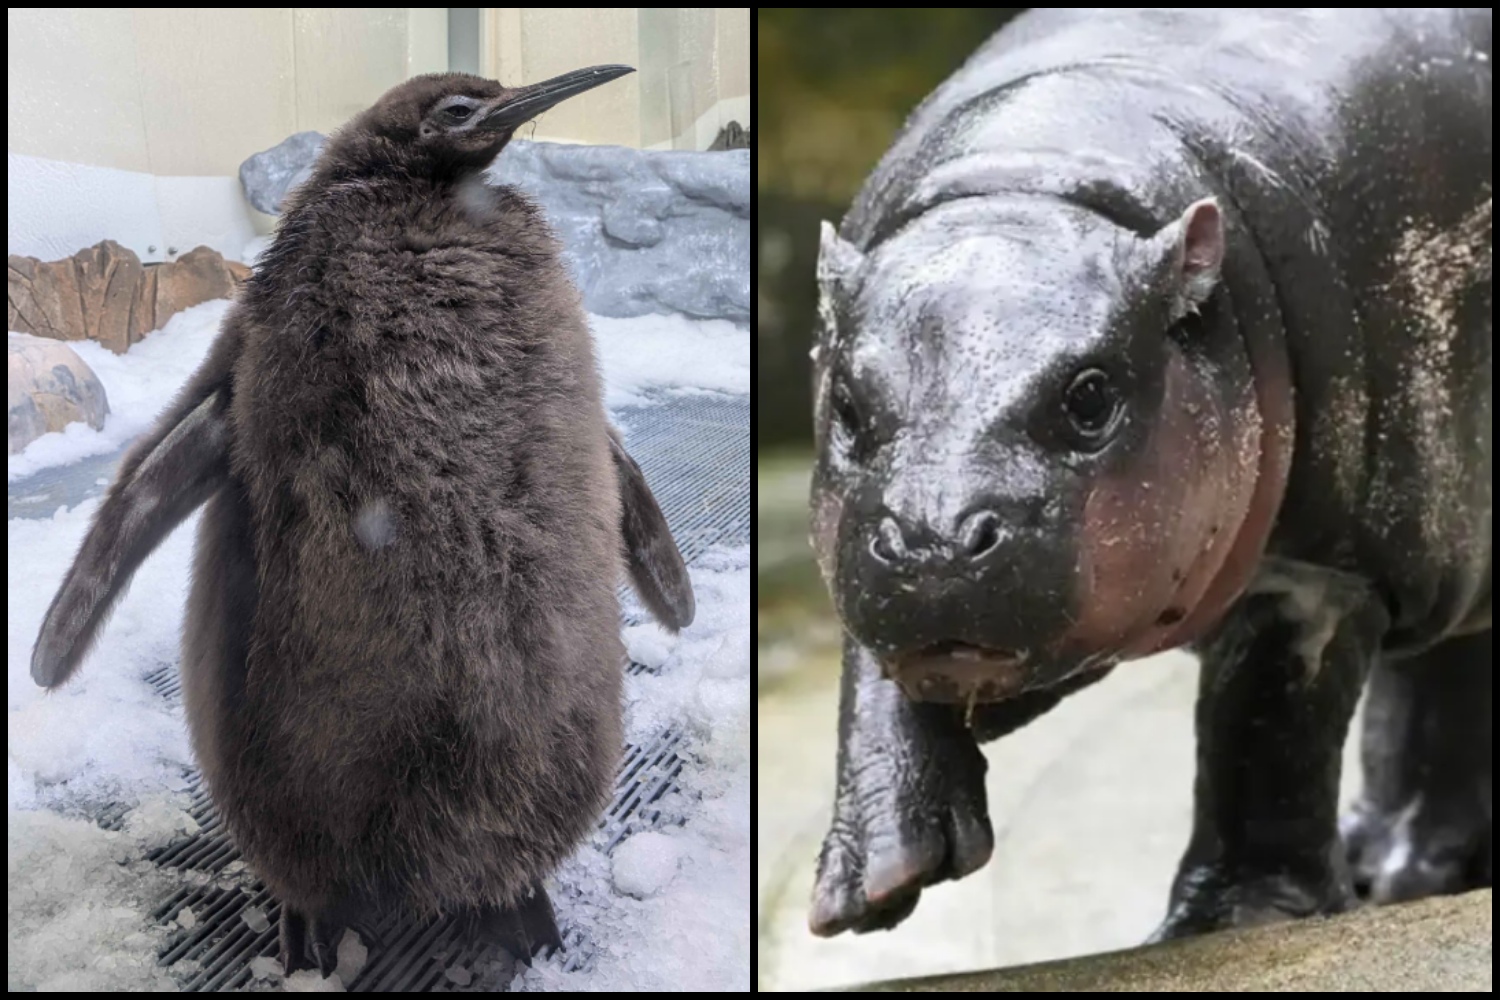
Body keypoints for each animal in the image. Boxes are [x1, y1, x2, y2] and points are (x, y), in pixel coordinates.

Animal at [810, 7, 1488, 941]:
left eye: (1091, 395)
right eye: (844, 401)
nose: (933, 544)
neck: (1040, 181)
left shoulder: (1329, 567)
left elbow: (1266, 727)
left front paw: (1232, 923)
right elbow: (872, 669)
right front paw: (874, 884)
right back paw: (1385, 867)